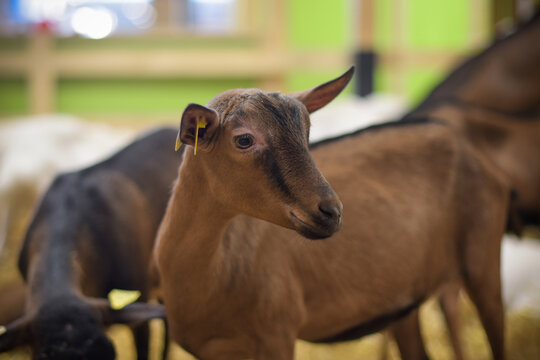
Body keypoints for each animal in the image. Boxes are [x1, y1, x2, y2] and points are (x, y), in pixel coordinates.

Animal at [156, 68, 510, 360]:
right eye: (244, 139)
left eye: (307, 133)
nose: (331, 212)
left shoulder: (276, 334)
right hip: (403, 301)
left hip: (483, 259)